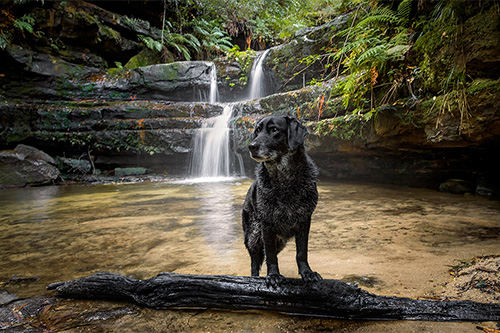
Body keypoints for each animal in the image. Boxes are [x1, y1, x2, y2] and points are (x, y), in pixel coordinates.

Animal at [243, 113, 322, 286]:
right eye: (257, 131)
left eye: (274, 130)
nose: (251, 146)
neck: (285, 179)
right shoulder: (266, 225)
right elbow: (270, 255)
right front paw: (273, 275)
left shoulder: (305, 221)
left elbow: (301, 252)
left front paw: (307, 273)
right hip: (253, 235)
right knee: (254, 261)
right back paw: (254, 278)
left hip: (279, 240)